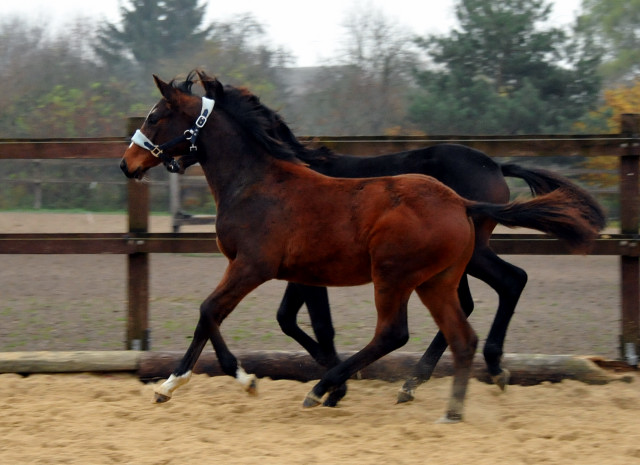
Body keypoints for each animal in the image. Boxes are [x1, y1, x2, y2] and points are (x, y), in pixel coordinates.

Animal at [119, 71, 600, 420]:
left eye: (156, 117)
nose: (127, 164)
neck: (258, 182)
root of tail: (462, 200)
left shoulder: (254, 266)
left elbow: (213, 311)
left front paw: (246, 380)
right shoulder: (279, 272)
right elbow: (230, 317)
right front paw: (168, 386)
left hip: (394, 276)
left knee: (398, 330)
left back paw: (327, 387)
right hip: (436, 280)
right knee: (463, 331)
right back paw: (444, 404)